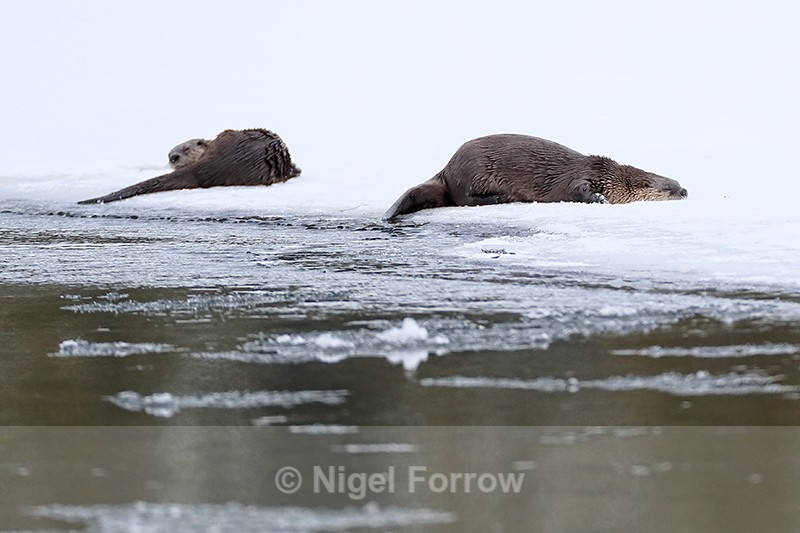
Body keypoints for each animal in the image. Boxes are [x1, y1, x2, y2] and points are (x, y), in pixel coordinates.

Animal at [383, 134, 687, 220]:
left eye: (678, 182)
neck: (608, 175)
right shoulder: (582, 176)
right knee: (465, 199)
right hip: (474, 172)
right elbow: (578, 190)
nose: (685, 191)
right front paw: (600, 199)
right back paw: (501, 197)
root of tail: (447, 169)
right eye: (669, 188)